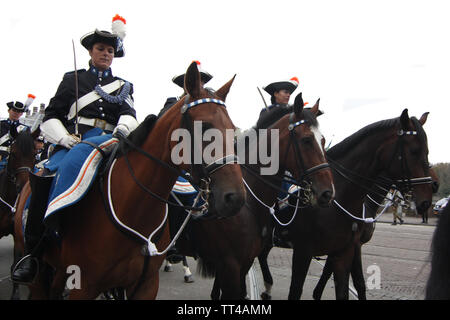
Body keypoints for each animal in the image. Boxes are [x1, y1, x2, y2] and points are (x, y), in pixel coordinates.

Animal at [13, 62, 246, 300]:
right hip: (39, 274)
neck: (134, 208)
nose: (234, 198)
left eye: (232, 129)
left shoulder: (146, 285)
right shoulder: (84, 286)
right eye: (204, 127)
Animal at [258, 109, 434, 300]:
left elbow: (349, 285)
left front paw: (318, 293)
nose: (427, 200)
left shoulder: (346, 249)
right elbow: (299, 289)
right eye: (415, 151)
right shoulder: (304, 251)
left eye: (427, 151)